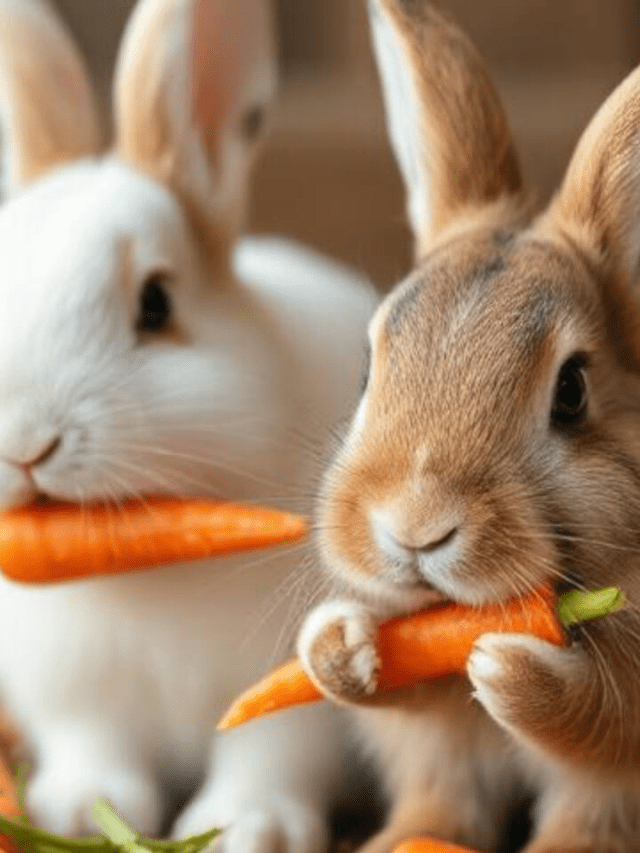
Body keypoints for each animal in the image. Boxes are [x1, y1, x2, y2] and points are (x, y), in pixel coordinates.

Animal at [0, 0, 377, 850]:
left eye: (156, 304)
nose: (23, 443)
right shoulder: (78, 691)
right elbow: (96, 746)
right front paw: (81, 809)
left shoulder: (281, 686)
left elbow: (268, 747)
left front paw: (251, 825)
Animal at [297, 1, 640, 851]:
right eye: (366, 369)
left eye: (572, 392)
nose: (415, 529)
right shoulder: (439, 723)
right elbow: (415, 687)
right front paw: (339, 643)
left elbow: (603, 715)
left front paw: (506, 668)